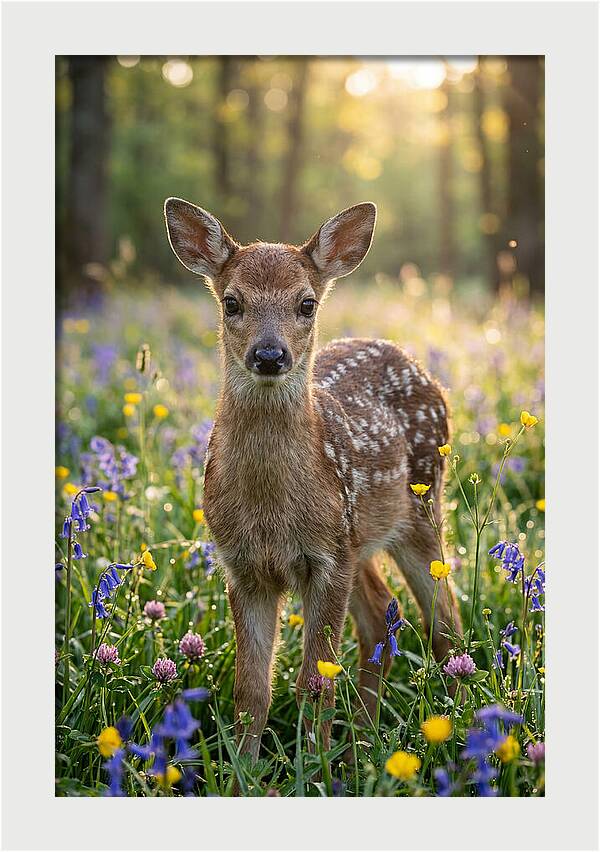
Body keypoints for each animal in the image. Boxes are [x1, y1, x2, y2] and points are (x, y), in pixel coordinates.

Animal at [164, 198, 462, 763]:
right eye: (231, 303)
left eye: (306, 304)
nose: (269, 355)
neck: (270, 511)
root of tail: (417, 365)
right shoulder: (243, 565)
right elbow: (251, 689)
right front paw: (244, 771)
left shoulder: (325, 559)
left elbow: (314, 681)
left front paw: (313, 768)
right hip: (359, 539)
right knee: (380, 616)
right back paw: (362, 744)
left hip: (418, 509)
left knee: (446, 625)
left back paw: (455, 735)